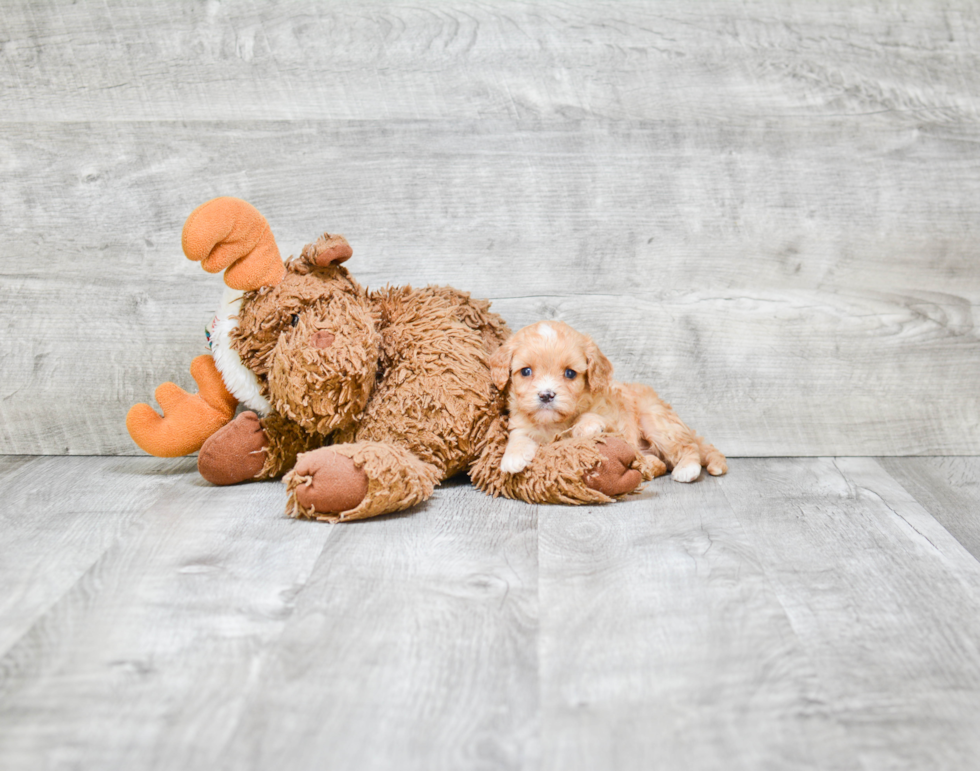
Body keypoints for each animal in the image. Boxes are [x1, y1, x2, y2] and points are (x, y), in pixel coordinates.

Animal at [490, 322, 728, 486]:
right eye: (526, 371)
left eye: (570, 373)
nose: (546, 395)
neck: (554, 423)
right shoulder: (521, 422)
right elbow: (518, 437)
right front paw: (512, 456)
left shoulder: (617, 423)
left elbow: (592, 417)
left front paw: (586, 425)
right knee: (658, 462)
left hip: (655, 420)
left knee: (688, 446)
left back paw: (687, 468)